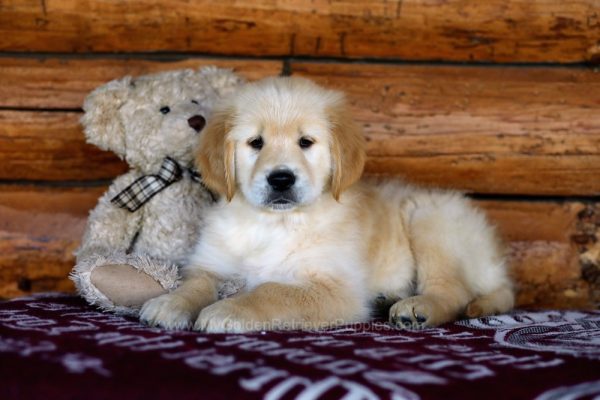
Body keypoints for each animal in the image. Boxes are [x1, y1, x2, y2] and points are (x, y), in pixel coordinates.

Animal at [138, 76, 512, 332]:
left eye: (306, 142)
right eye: (256, 143)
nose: (281, 179)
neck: (272, 223)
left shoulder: (337, 289)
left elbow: (273, 290)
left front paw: (228, 309)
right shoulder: (211, 264)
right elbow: (196, 283)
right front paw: (170, 302)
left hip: (431, 218)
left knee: (454, 292)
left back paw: (418, 306)